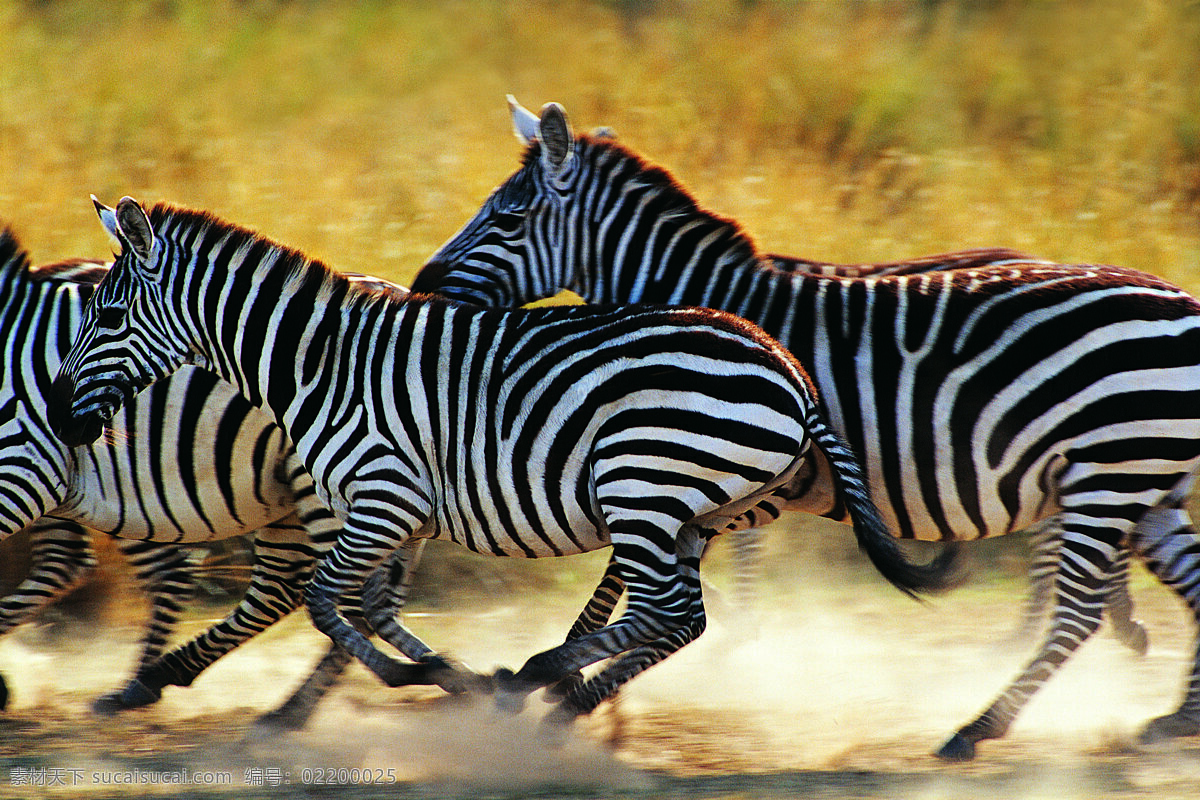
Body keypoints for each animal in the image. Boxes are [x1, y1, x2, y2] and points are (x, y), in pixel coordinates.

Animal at [0, 226, 432, 734]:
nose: (60, 415)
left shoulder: (33, 466)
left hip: (327, 491)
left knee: (332, 596)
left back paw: (283, 707)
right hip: (295, 497)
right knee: (286, 589)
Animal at [408, 97, 1200, 762]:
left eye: (507, 219)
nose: (421, 285)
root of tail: (1183, 300)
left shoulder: (698, 473)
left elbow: (635, 586)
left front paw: (571, 682)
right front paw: (581, 683)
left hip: (1109, 466)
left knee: (1077, 609)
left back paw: (978, 727)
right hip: (1145, 475)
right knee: (1181, 583)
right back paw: (1172, 718)